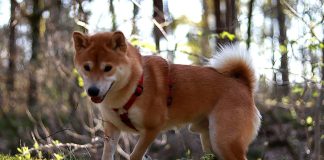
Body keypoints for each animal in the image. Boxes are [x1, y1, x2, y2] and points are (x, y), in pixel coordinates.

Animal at [73, 31, 260, 160]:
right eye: (87, 67)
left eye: (108, 68)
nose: (92, 91)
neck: (134, 86)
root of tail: (243, 84)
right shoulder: (112, 129)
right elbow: (107, 155)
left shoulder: (152, 129)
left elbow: (134, 155)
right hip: (209, 140)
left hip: (223, 141)